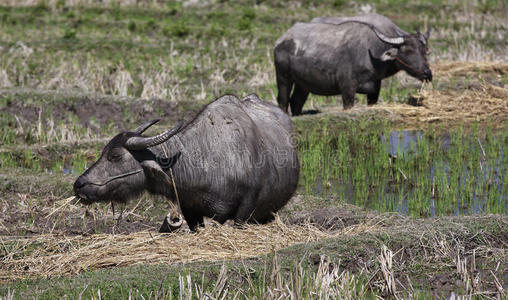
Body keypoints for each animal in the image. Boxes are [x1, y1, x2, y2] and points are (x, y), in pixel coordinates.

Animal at [274, 12, 432, 115]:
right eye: (408, 50)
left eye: (424, 50)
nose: (427, 74)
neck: (372, 52)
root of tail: (282, 39)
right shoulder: (347, 89)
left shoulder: (375, 89)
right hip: (283, 78)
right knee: (283, 101)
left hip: (303, 85)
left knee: (296, 103)